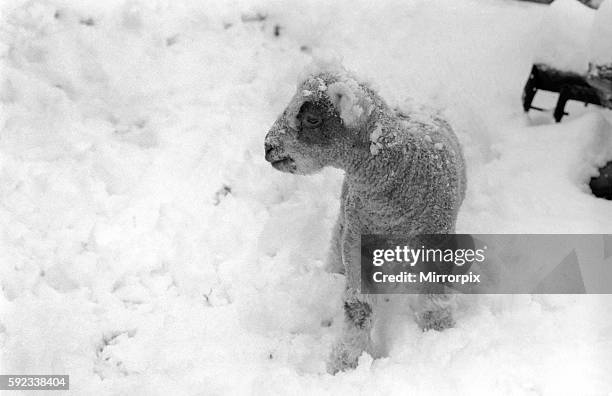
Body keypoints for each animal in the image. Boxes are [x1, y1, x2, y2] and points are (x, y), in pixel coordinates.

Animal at [262, 62, 468, 374]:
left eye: (312, 118)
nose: (267, 146)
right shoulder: (357, 241)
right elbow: (358, 308)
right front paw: (345, 363)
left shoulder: (437, 242)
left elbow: (433, 297)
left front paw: (438, 333)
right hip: (346, 213)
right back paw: (333, 271)